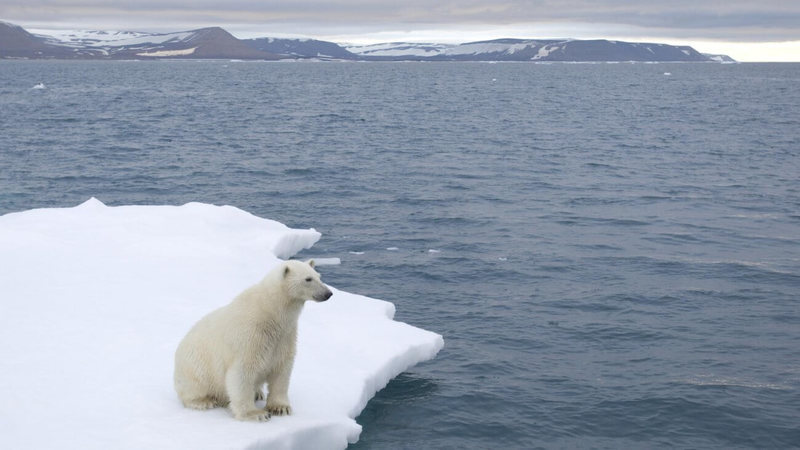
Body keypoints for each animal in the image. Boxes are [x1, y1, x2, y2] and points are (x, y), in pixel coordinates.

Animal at [173, 258, 332, 420]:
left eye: (319, 276)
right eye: (308, 279)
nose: (328, 293)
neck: (271, 312)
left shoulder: (285, 337)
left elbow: (282, 370)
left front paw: (281, 408)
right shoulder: (250, 336)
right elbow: (242, 372)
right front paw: (256, 414)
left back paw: (258, 393)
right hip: (195, 367)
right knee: (195, 386)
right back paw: (203, 401)